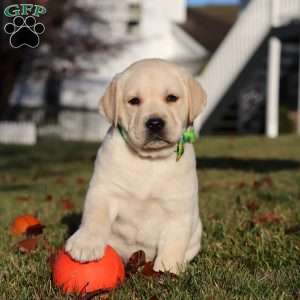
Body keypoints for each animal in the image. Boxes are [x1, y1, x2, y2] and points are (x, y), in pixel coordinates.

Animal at [65, 58, 206, 274]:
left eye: (172, 98)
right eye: (134, 101)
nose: (155, 123)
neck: (149, 160)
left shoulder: (179, 207)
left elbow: (174, 240)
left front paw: (168, 269)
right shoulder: (104, 191)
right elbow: (95, 217)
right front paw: (86, 244)